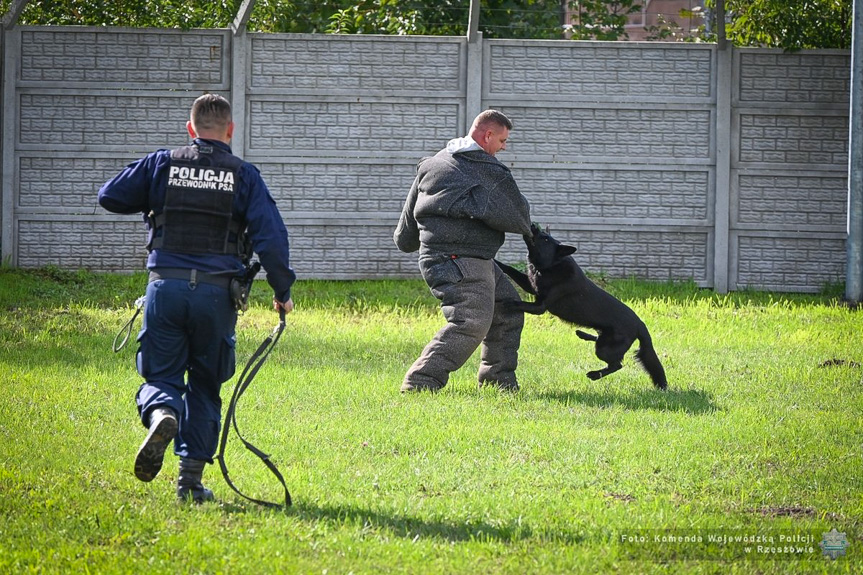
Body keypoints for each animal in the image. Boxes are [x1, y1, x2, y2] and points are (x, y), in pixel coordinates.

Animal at [492, 225, 668, 392]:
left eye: (546, 239)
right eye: (543, 234)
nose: (533, 225)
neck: (552, 265)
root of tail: (640, 324)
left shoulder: (539, 306)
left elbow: (519, 303)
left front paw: (507, 303)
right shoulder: (531, 286)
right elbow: (510, 269)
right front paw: (497, 262)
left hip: (605, 348)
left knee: (617, 365)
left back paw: (595, 374)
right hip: (604, 339)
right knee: (605, 348)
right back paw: (583, 335)